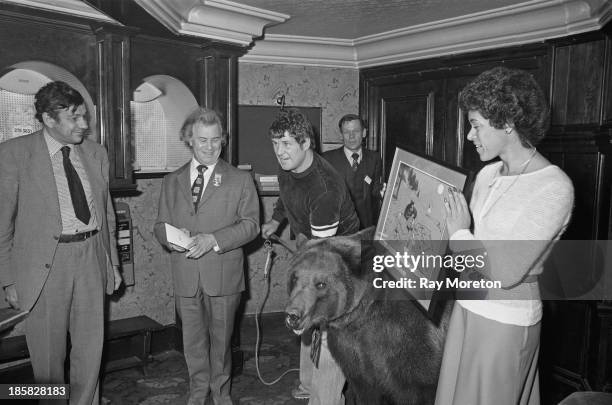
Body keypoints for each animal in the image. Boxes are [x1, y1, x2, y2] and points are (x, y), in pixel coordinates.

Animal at [286, 229, 450, 402]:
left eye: (321, 284)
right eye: (294, 277)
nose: (293, 316)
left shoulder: (410, 344)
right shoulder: (354, 350)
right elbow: (365, 387)